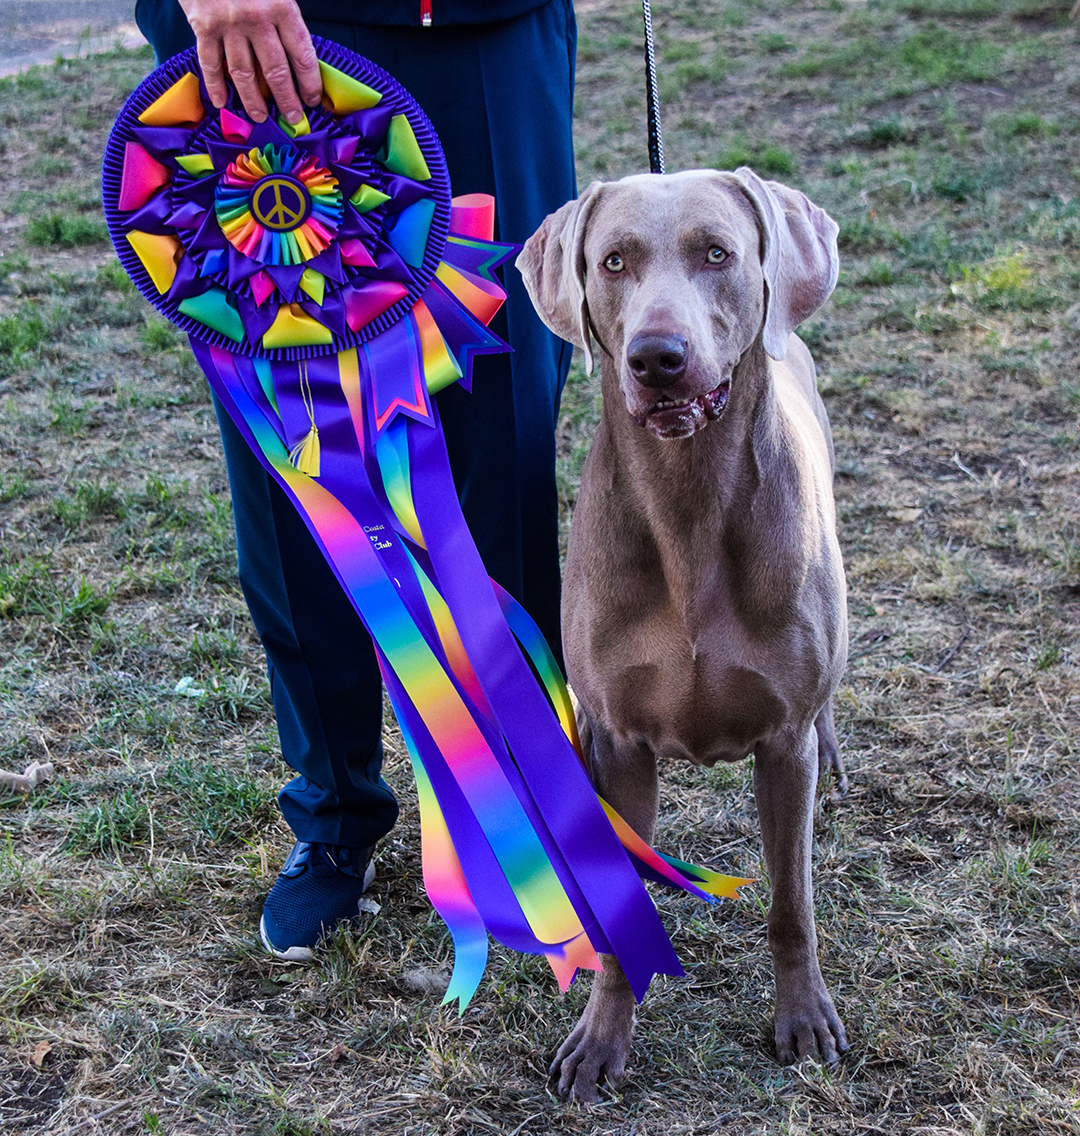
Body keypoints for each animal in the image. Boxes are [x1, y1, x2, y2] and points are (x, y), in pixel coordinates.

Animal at [522, 165, 854, 1099]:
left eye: (717, 253)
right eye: (613, 261)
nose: (656, 358)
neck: (689, 503)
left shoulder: (782, 741)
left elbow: (791, 903)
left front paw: (803, 1019)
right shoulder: (618, 739)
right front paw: (601, 1042)